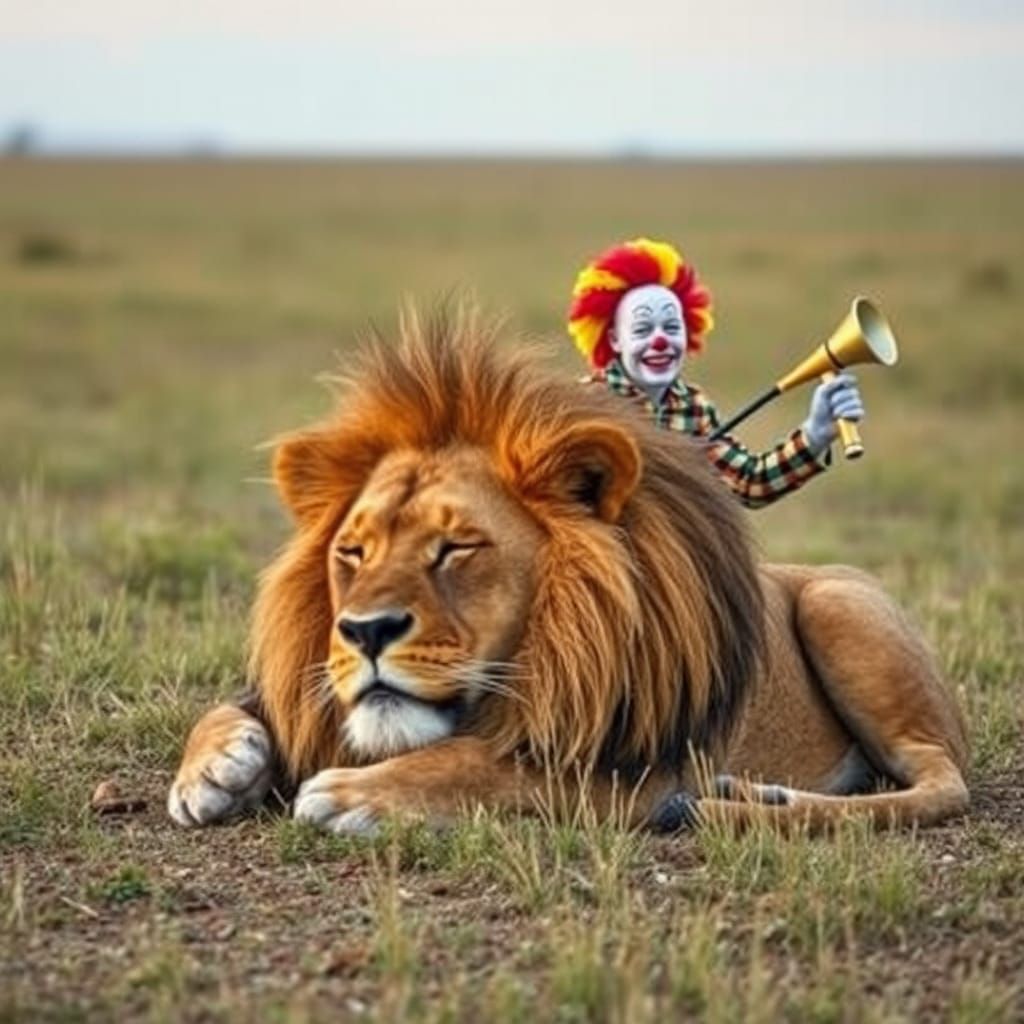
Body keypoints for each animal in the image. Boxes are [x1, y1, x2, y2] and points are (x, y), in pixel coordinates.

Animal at [168, 306, 968, 834]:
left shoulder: (646, 768)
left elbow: (483, 764)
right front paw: (213, 769)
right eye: (352, 552)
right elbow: (229, 708)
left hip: (839, 608)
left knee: (943, 782)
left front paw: (356, 794)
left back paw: (760, 803)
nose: (364, 631)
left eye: (456, 548)